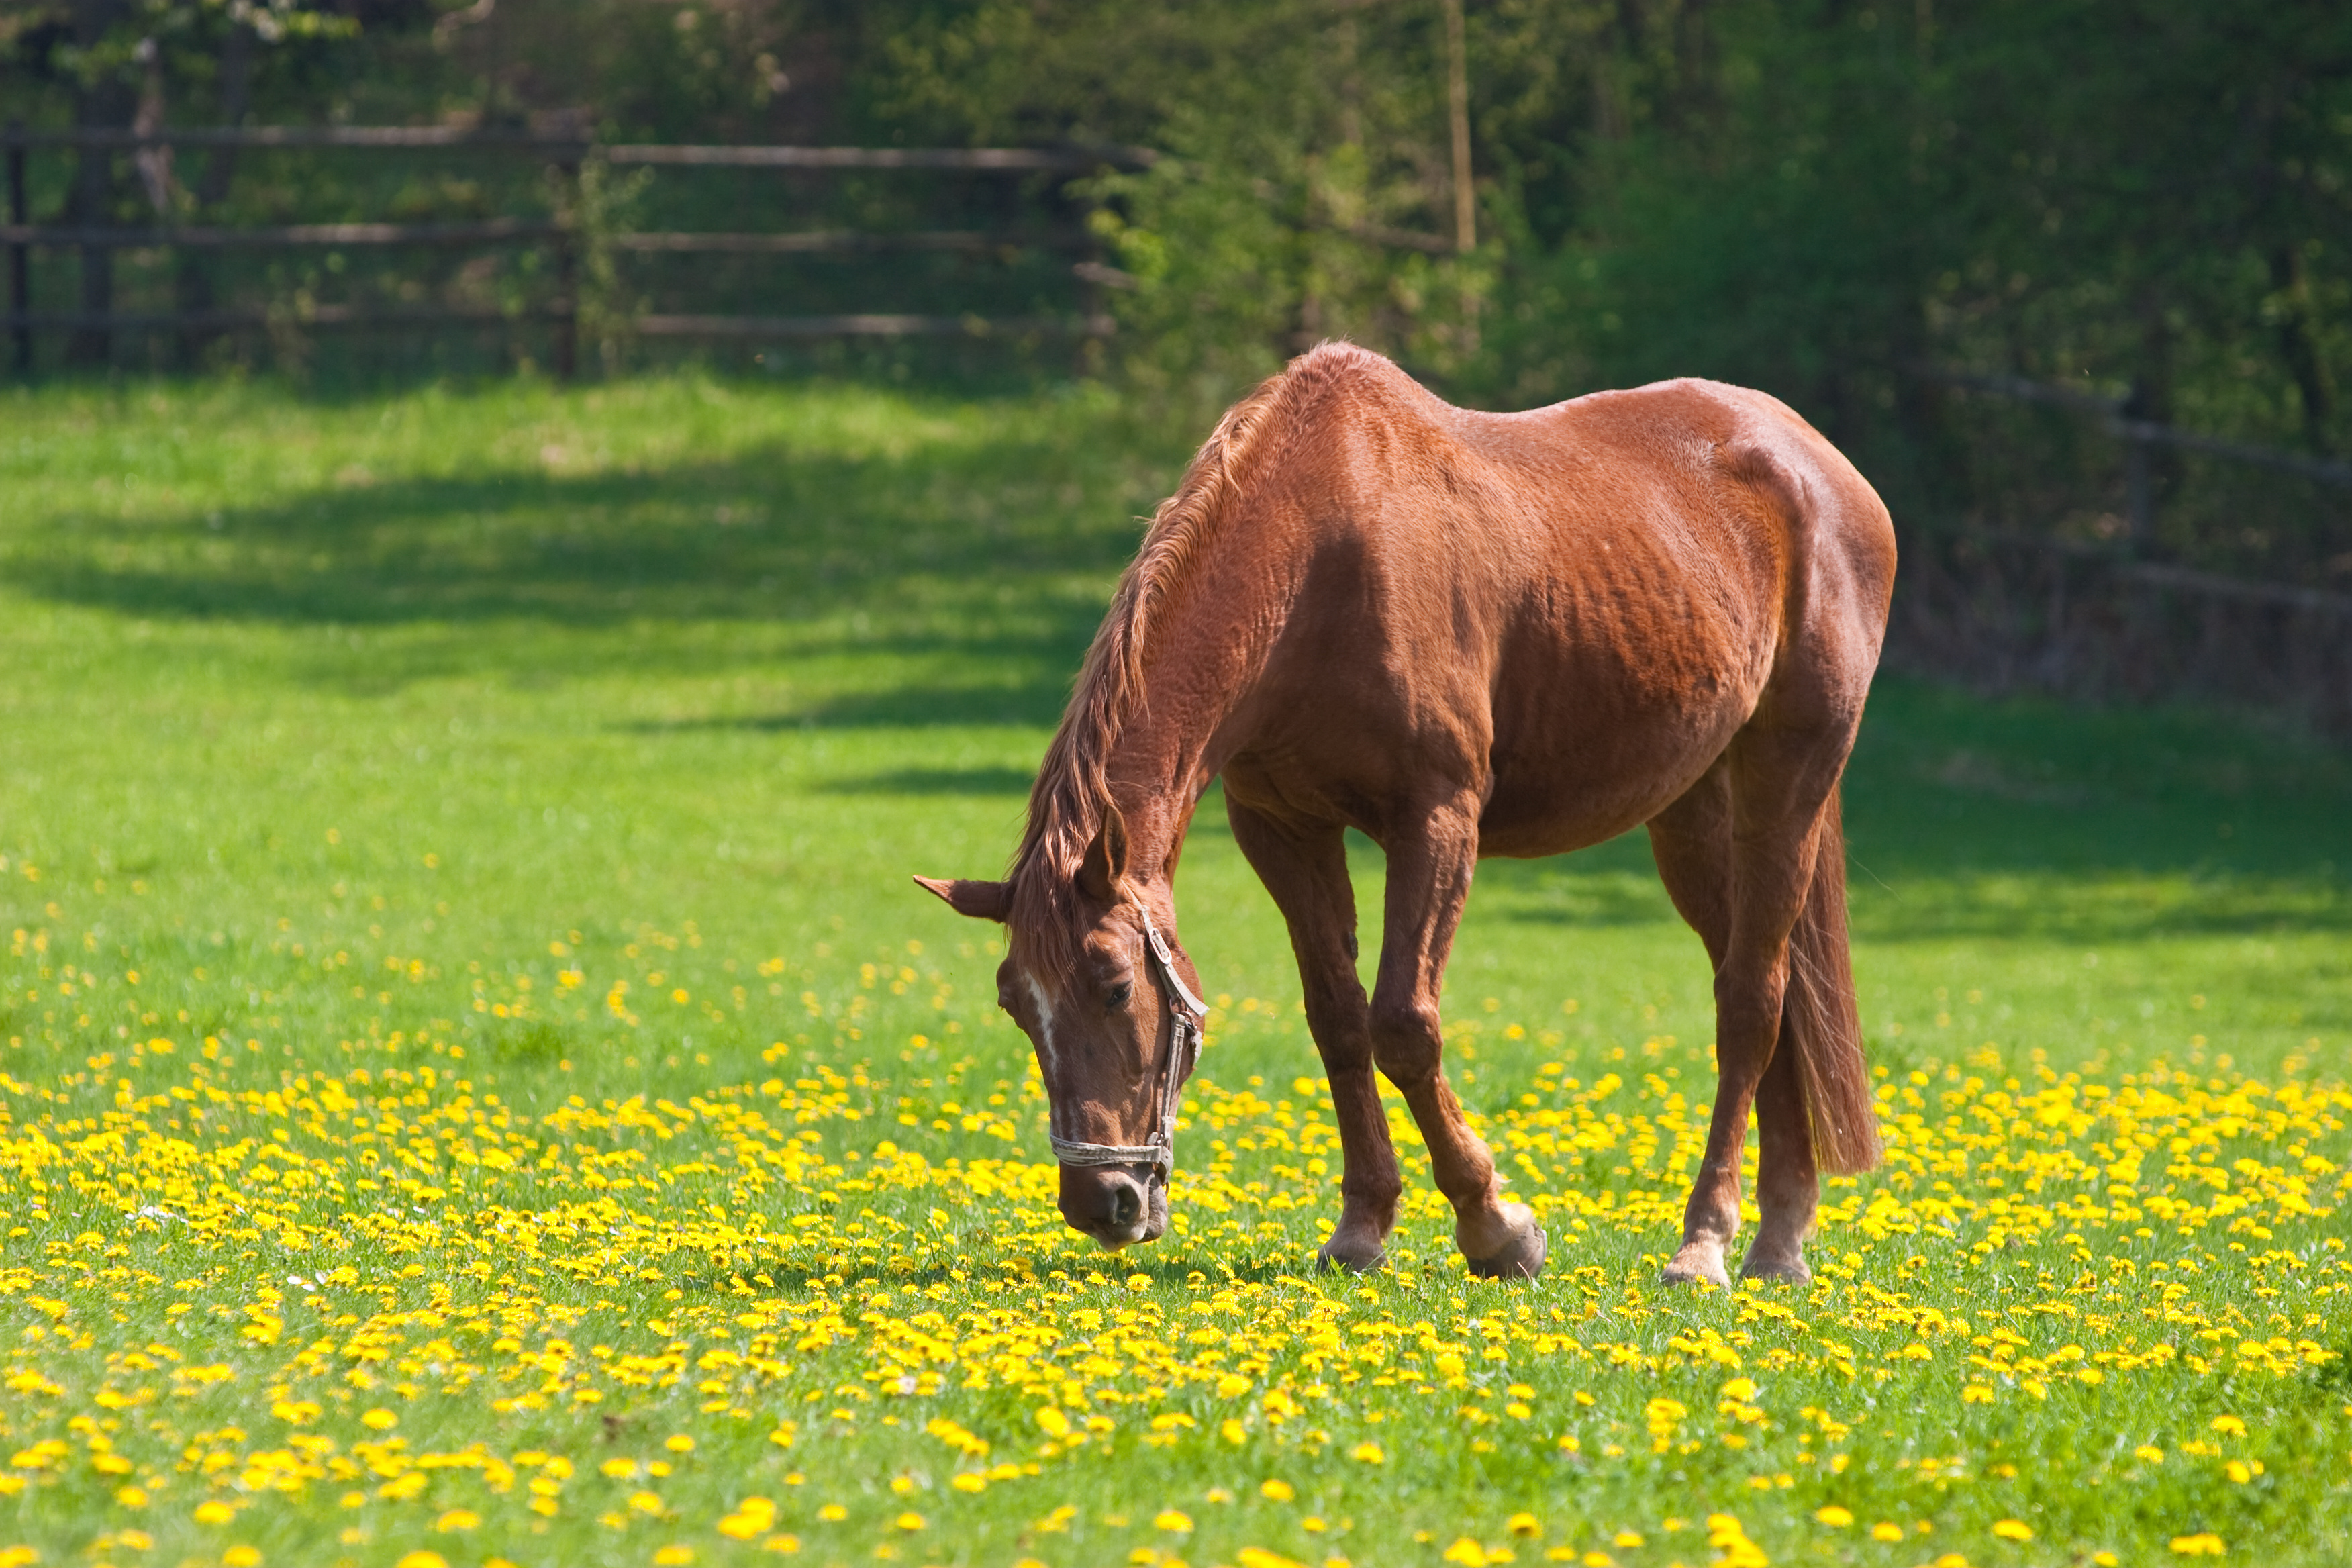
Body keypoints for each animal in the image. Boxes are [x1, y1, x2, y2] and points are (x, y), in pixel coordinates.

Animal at [917, 342, 1893, 1286]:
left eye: (1117, 985)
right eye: (1015, 1002)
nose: (1103, 1201)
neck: (1319, 562)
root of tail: (1816, 463)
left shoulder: (1437, 821)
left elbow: (1403, 1025)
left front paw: (1496, 1227)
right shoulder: (1284, 829)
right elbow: (1339, 1020)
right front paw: (1363, 1226)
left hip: (1789, 776)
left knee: (1751, 999)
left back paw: (1708, 1246)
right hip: (1690, 813)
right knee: (1771, 990)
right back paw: (1781, 1235)